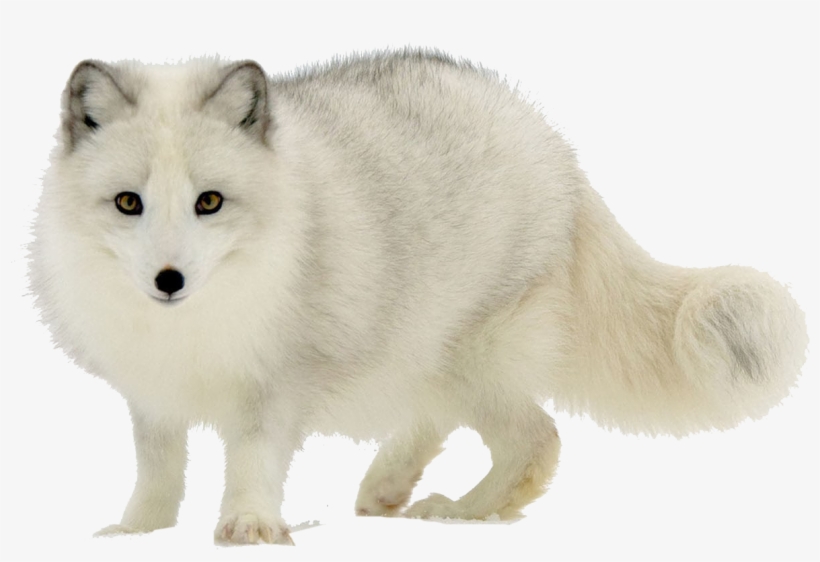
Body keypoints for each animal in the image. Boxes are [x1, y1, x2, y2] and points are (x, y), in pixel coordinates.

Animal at [28, 50, 808, 546]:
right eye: (128, 202)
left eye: (209, 201)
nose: (169, 280)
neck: (192, 324)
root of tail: (550, 140)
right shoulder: (152, 394)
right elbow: (157, 471)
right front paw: (137, 532)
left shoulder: (277, 382)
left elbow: (250, 459)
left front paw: (248, 527)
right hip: (424, 352)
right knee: (441, 420)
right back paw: (387, 487)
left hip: (471, 354)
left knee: (538, 440)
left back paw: (462, 513)